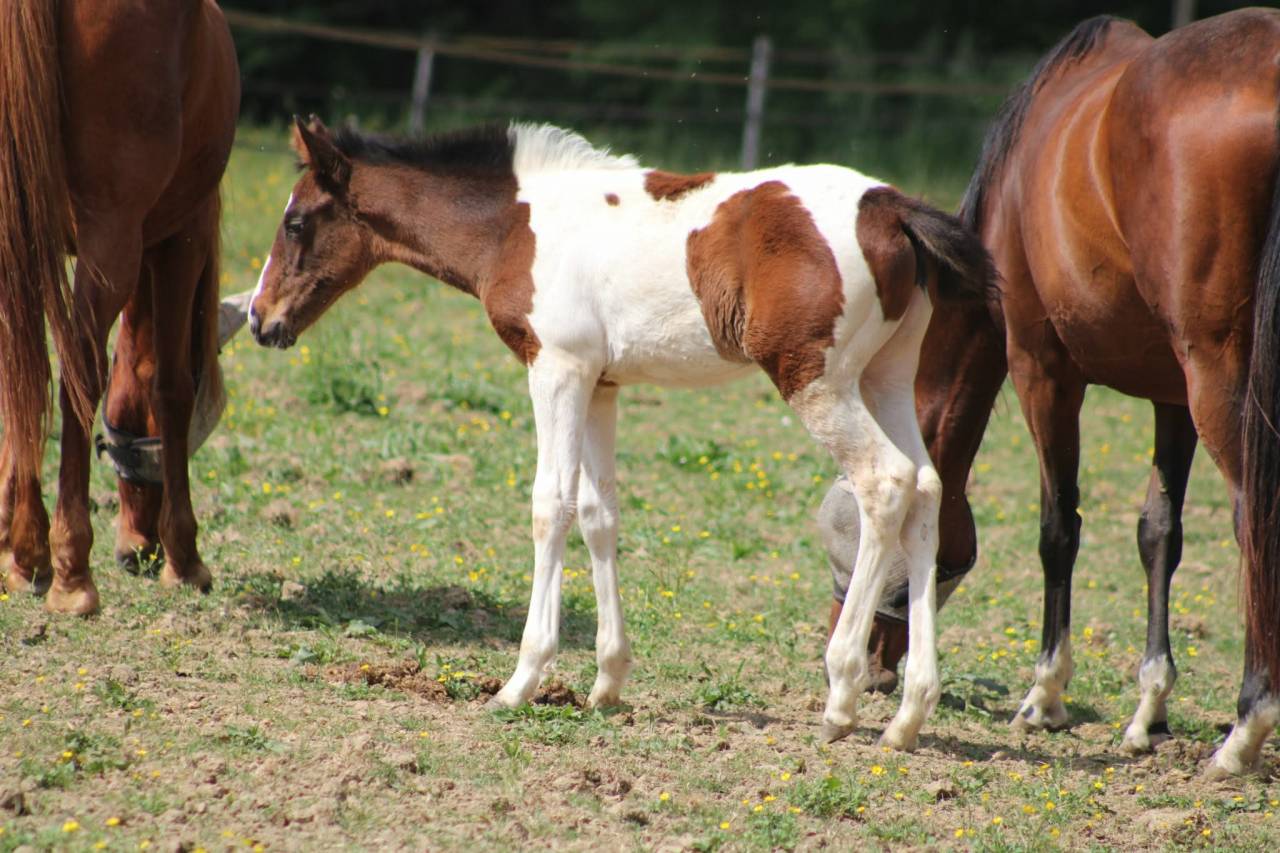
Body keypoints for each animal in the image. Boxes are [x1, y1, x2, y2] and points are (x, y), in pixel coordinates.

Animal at [0, 0, 239, 614]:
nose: (139, 549)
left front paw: (17, 548)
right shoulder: (182, 238)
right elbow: (169, 385)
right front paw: (186, 559)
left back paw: (34, 550)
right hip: (112, 240)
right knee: (78, 378)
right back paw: (73, 575)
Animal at [248, 117, 997, 748]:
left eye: (295, 221)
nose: (259, 318)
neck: (517, 227)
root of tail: (890, 207)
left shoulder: (556, 367)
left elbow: (549, 506)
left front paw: (522, 681)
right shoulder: (600, 383)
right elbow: (597, 512)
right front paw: (606, 679)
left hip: (816, 379)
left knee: (885, 483)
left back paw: (841, 695)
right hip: (885, 377)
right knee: (928, 489)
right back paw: (909, 714)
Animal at [821, 9, 1280, 776]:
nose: (877, 668)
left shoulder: (1043, 368)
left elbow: (1058, 527)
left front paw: (1045, 695)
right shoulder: (1171, 394)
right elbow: (1159, 532)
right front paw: (1149, 709)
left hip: (1218, 379)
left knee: (1253, 519)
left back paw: (1248, 724)